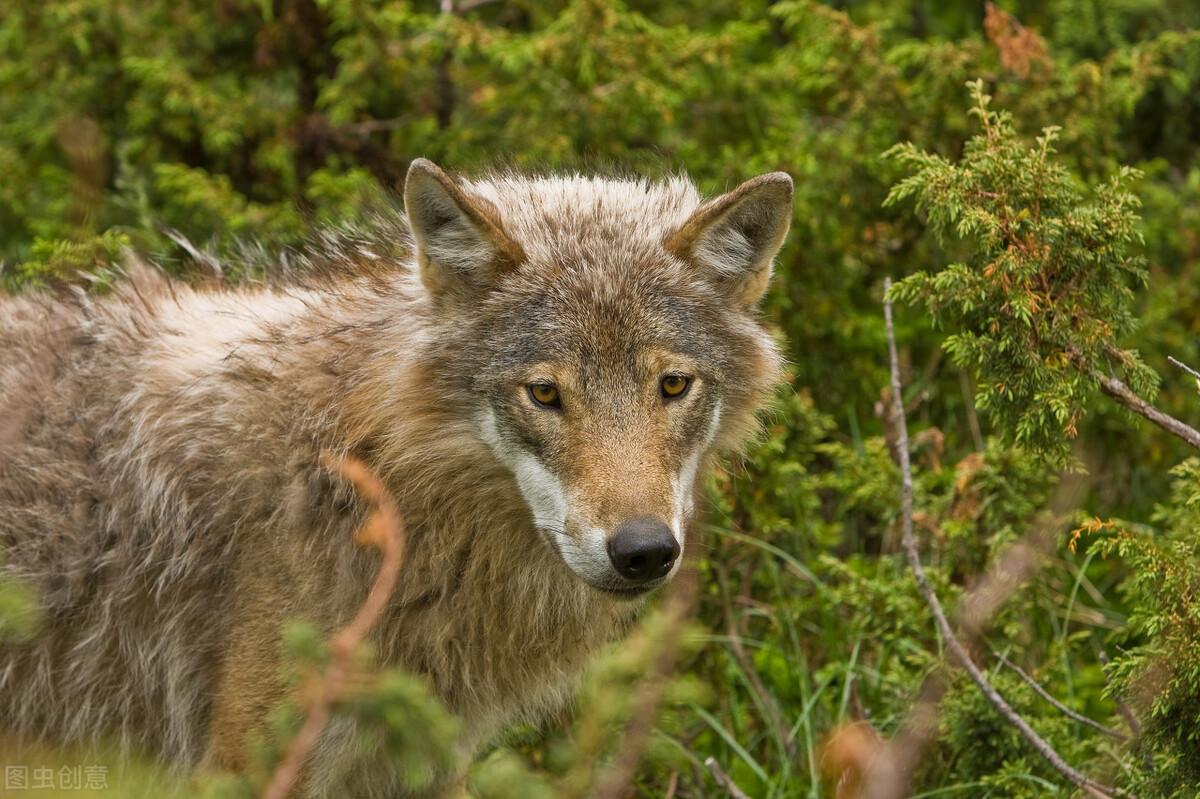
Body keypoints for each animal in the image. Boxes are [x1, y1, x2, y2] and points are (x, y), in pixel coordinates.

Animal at [0, 158, 792, 791]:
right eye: (544, 393)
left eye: (672, 385)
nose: (643, 550)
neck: (369, 472)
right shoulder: (247, 764)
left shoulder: (423, 760)